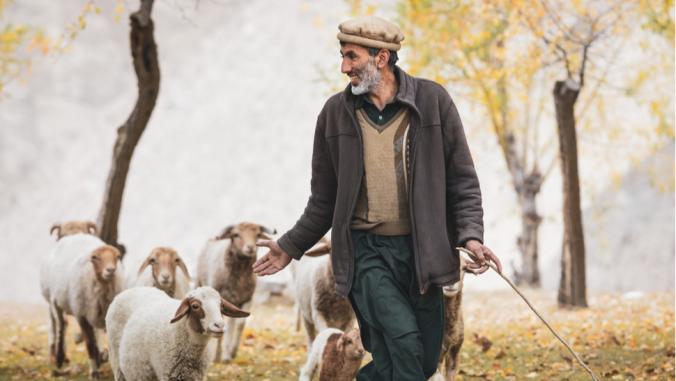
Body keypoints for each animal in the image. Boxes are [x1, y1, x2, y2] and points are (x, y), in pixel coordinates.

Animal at [40, 232, 124, 378]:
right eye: (95, 258)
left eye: (117, 256)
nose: (111, 270)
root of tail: (76, 234)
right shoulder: (81, 316)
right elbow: (89, 344)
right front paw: (94, 372)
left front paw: (101, 357)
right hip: (55, 302)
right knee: (61, 325)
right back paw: (59, 358)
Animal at [103, 284, 246, 380]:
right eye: (195, 306)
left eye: (221, 306)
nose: (220, 325)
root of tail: (133, 289)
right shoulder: (168, 373)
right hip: (117, 361)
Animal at [195, 220, 274, 360]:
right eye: (236, 234)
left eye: (257, 234)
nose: (250, 248)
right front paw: (217, 356)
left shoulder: (247, 299)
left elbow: (240, 324)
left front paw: (232, 352)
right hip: (199, 282)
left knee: (232, 323)